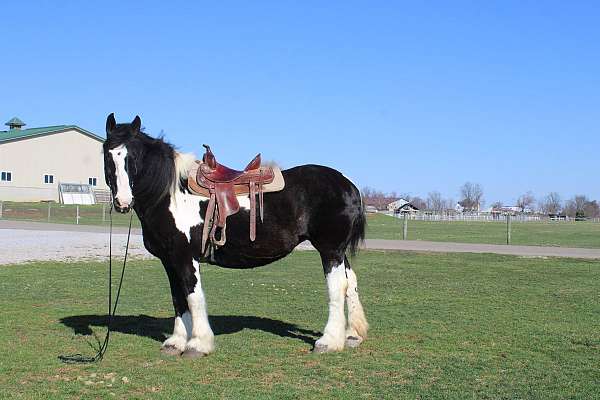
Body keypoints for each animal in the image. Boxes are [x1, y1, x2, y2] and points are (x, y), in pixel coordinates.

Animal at [101, 114, 368, 358]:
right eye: (107, 154)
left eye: (134, 156)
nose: (122, 202)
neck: (171, 194)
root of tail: (348, 184)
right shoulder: (169, 260)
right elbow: (178, 298)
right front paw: (175, 343)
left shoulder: (186, 257)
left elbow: (193, 296)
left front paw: (197, 344)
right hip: (338, 251)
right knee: (351, 281)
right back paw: (352, 335)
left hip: (329, 250)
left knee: (337, 287)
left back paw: (329, 341)